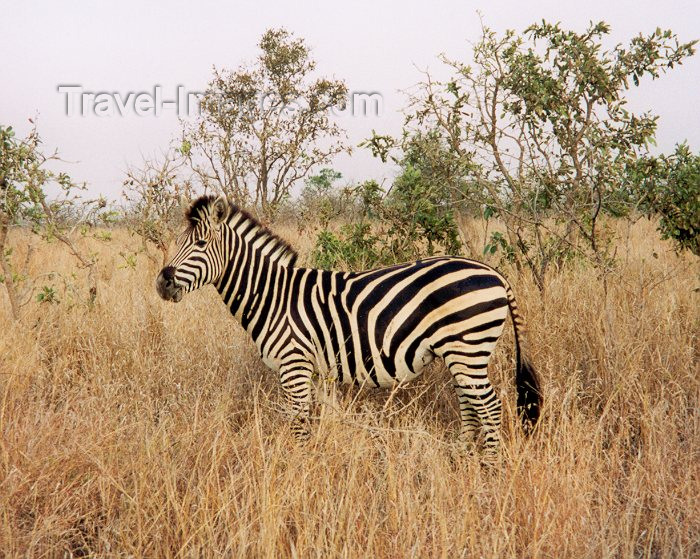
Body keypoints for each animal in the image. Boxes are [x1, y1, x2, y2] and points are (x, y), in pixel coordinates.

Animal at [157, 196, 540, 456]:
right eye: (178, 242)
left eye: (200, 244)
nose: (162, 283)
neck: (272, 295)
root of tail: (495, 274)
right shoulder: (313, 370)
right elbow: (317, 418)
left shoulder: (294, 365)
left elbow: (298, 424)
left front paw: (299, 471)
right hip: (461, 353)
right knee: (470, 403)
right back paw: (462, 456)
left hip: (468, 347)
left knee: (490, 406)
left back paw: (489, 469)